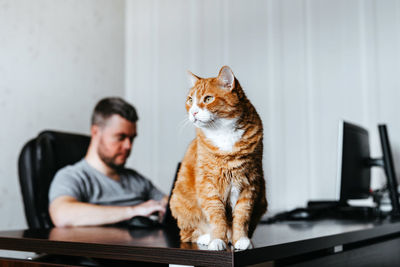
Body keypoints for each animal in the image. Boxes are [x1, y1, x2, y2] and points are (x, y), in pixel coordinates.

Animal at [170, 66, 268, 251]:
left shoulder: (248, 183)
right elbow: (217, 216)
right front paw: (217, 239)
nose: (193, 112)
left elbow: (241, 216)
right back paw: (206, 237)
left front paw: (241, 239)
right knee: (188, 233)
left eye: (208, 99)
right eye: (190, 100)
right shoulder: (208, 185)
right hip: (179, 202)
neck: (223, 133)